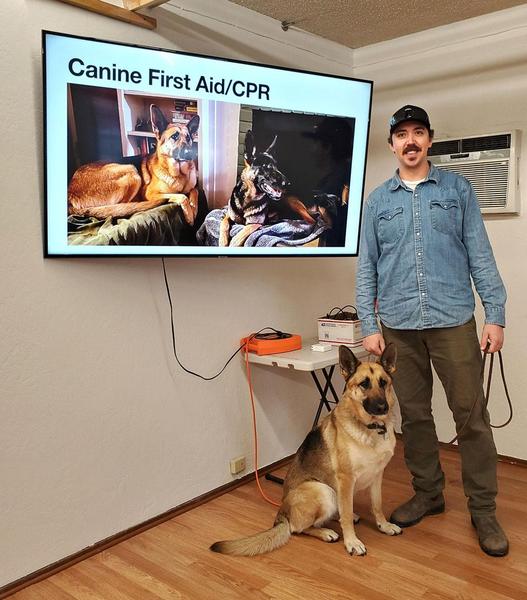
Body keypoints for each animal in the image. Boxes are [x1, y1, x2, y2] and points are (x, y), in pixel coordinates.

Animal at [68, 104, 200, 226]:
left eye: (188, 138)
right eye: (174, 136)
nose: (192, 154)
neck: (179, 174)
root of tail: (70, 192)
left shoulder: (191, 188)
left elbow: (194, 190)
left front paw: (194, 208)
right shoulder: (150, 193)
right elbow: (182, 196)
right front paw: (189, 214)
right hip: (131, 171)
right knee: (123, 206)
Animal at [210, 344, 400, 560]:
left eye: (383, 383)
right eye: (364, 384)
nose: (382, 407)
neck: (372, 428)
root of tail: (281, 514)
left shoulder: (377, 475)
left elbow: (377, 505)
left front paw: (384, 526)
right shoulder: (346, 479)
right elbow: (345, 519)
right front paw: (352, 542)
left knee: (336, 512)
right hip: (323, 490)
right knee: (299, 528)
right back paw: (326, 532)